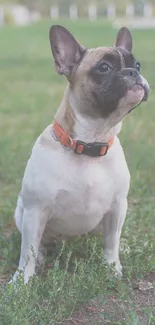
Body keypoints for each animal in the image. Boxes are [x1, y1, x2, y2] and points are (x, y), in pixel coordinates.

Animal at [10, 24, 149, 284]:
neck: (90, 142)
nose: (132, 72)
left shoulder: (118, 206)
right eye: (103, 67)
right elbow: (27, 252)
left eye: (137, 65)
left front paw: (112, 267)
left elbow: (111, 241)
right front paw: (22, 280)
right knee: (35, 244)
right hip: (22, 213)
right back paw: (42, 255)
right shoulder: (35, 210)